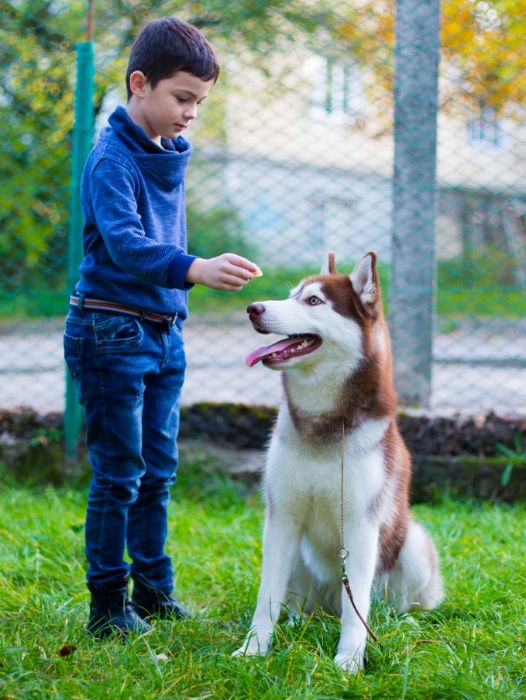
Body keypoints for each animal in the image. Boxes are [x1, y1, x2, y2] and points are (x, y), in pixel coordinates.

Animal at [235, 252, 446, 672]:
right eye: (292, 295)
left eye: (313, 301)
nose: (253, 308)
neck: (326, 425)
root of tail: (329, 605)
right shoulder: (281, 517)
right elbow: (267, 596)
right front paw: (254, 649)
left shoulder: (362, 524)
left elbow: (356, 608)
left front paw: (349, 661)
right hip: (300, 558)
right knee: (304, 602)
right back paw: (298, 619)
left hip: (413, 544)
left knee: (384, 604)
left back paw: (402, 619)